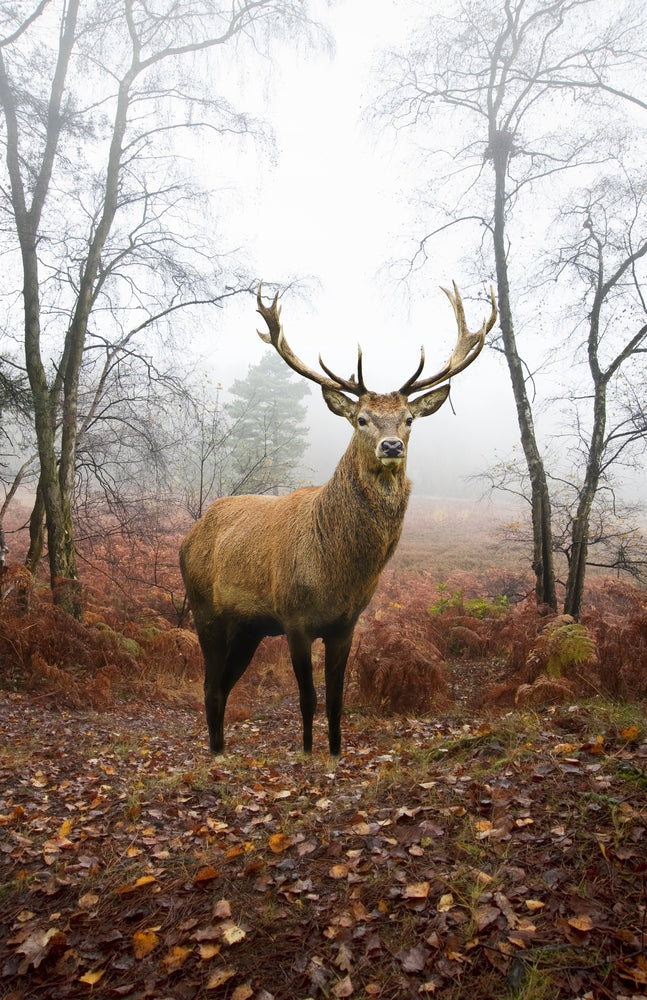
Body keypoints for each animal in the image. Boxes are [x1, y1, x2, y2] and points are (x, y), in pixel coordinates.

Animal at [179, 282, 496, 756]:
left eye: (408, 419)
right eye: (361, 418)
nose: (390, 446)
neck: (336, 571)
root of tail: (189, 536)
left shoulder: (345, 623)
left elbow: (335, 700)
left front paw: (334, 753)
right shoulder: (293, 618)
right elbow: (307, 699)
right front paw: (308, 753)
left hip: (248, 628)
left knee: (223, 685)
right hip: (205, 611)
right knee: (210, 686)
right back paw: (216, 755)